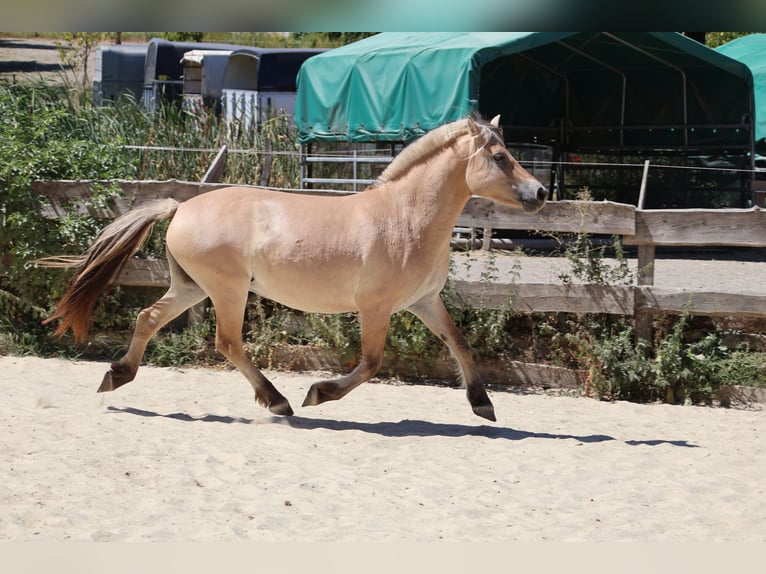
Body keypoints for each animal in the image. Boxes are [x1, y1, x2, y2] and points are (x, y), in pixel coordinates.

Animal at [41, 115, 547, 421]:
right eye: (499, 157)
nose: (540, 193)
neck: (405, 216)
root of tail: (180, 207)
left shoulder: (423, 301)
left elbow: (459, 342)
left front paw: (483, 405)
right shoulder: (377, 307)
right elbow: (371, 363)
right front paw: (319, 392)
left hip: (192, 287)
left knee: (149, 318)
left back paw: (116, 376)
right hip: (226, 290)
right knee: (228, 342)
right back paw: (279, 401)